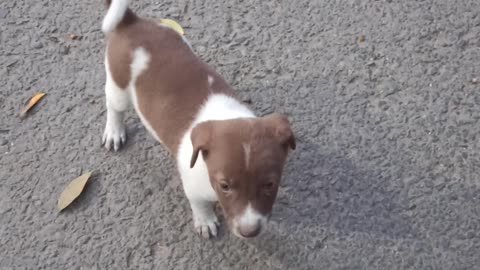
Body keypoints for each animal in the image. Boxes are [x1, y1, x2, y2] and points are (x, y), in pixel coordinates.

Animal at [101, 0, 294, 238]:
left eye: (270, 184)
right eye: (225, 186)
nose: (249, 232)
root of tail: (131, 21)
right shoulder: (193, 188)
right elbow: (199, 204)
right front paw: (205, 220)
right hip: (118, 86)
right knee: (113, 107)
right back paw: (114, 131)